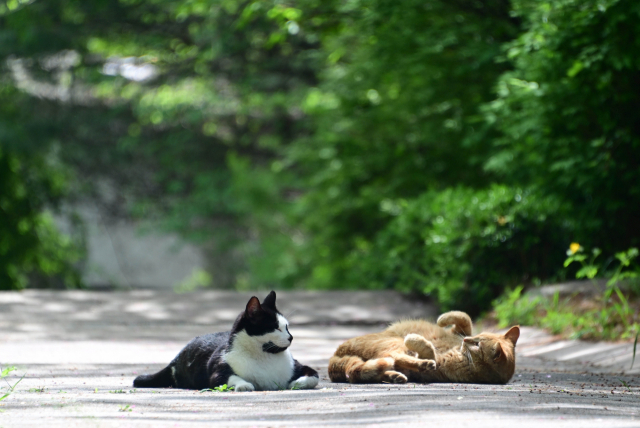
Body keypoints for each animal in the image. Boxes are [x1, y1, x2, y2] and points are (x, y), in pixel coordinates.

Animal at [133, 290, 320, 392]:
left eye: (287, 327)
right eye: (275, 327)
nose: (291, 337)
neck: (265, 357)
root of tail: (176, 358)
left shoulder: (299, 367)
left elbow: (314, 376)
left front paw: (297, 382)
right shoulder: (218, 372)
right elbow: (232, 377)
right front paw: (244, 385)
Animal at [330, 310, 520, 384]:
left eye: (477, 345)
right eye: (477, 338)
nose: (466, 340)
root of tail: (336, 354)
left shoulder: (439, 361)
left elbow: (427, 349)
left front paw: (416, 341)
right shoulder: (458, 330)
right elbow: (463, 317)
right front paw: (442, 319)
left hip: (393, 343)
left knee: (394, 358)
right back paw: (394, 376)